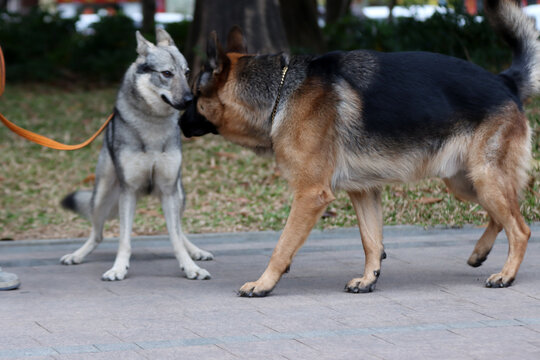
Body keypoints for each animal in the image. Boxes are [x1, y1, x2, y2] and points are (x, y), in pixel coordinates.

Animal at [59, 28, 211, 282]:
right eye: (167, 73)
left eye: (187, 72)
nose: (192, 100)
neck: (153, 126)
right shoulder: (128, 191)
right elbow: (124, 240)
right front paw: (118, 268)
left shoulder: (168, 191)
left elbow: (176, 238)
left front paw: (190, 267)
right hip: (101, 197)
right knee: (97, 235)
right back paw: (76, 255)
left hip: (178, 196)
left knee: (180, 231)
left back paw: (197, 251)